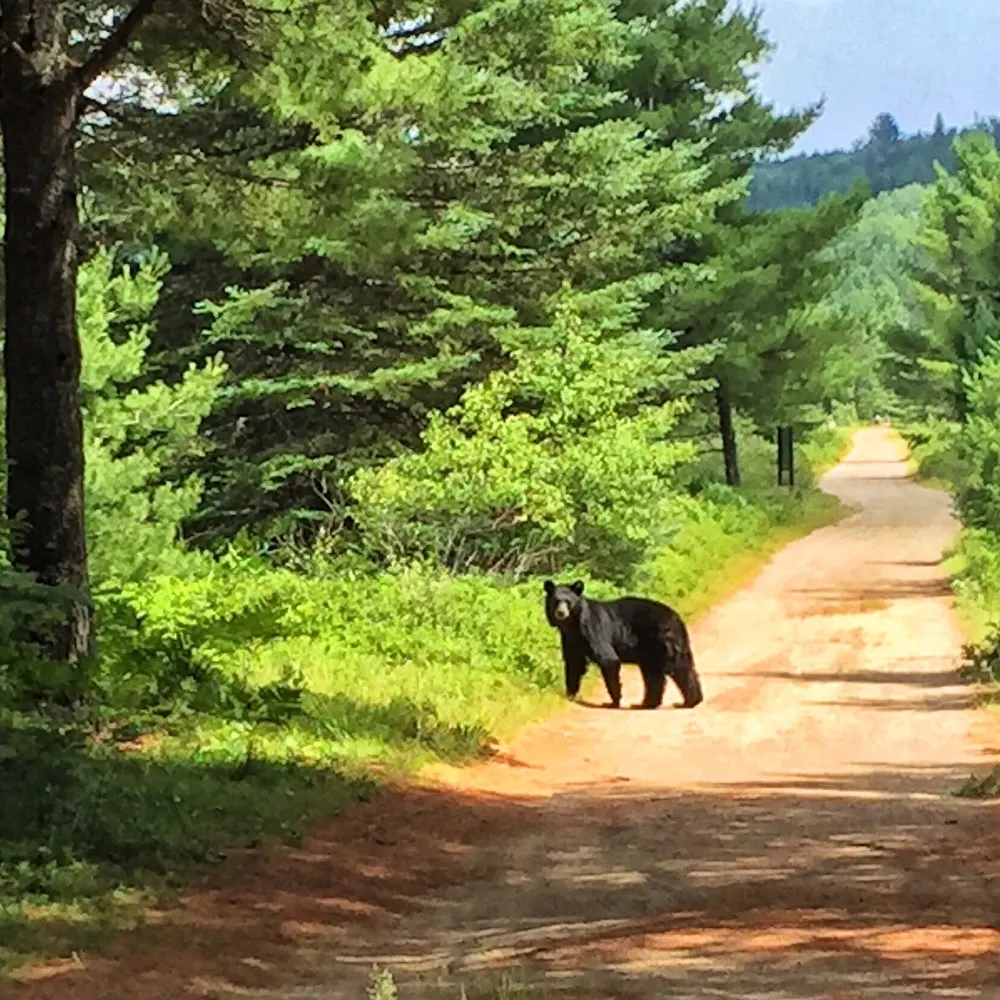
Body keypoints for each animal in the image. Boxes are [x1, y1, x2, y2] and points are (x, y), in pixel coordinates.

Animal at [540, 580, 704, 712]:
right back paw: (646, 703)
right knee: (655, 674)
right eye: (556, 600)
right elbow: (574, 664)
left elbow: (608, 659)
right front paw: (570, 695)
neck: (573, 624)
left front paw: (613, 702)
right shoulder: (571, 640)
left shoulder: (593, 630)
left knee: (678, 667)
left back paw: (689, 701)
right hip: (652, 651)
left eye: (567, 601)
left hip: (662, 641)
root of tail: (677, 618)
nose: (561, 612)